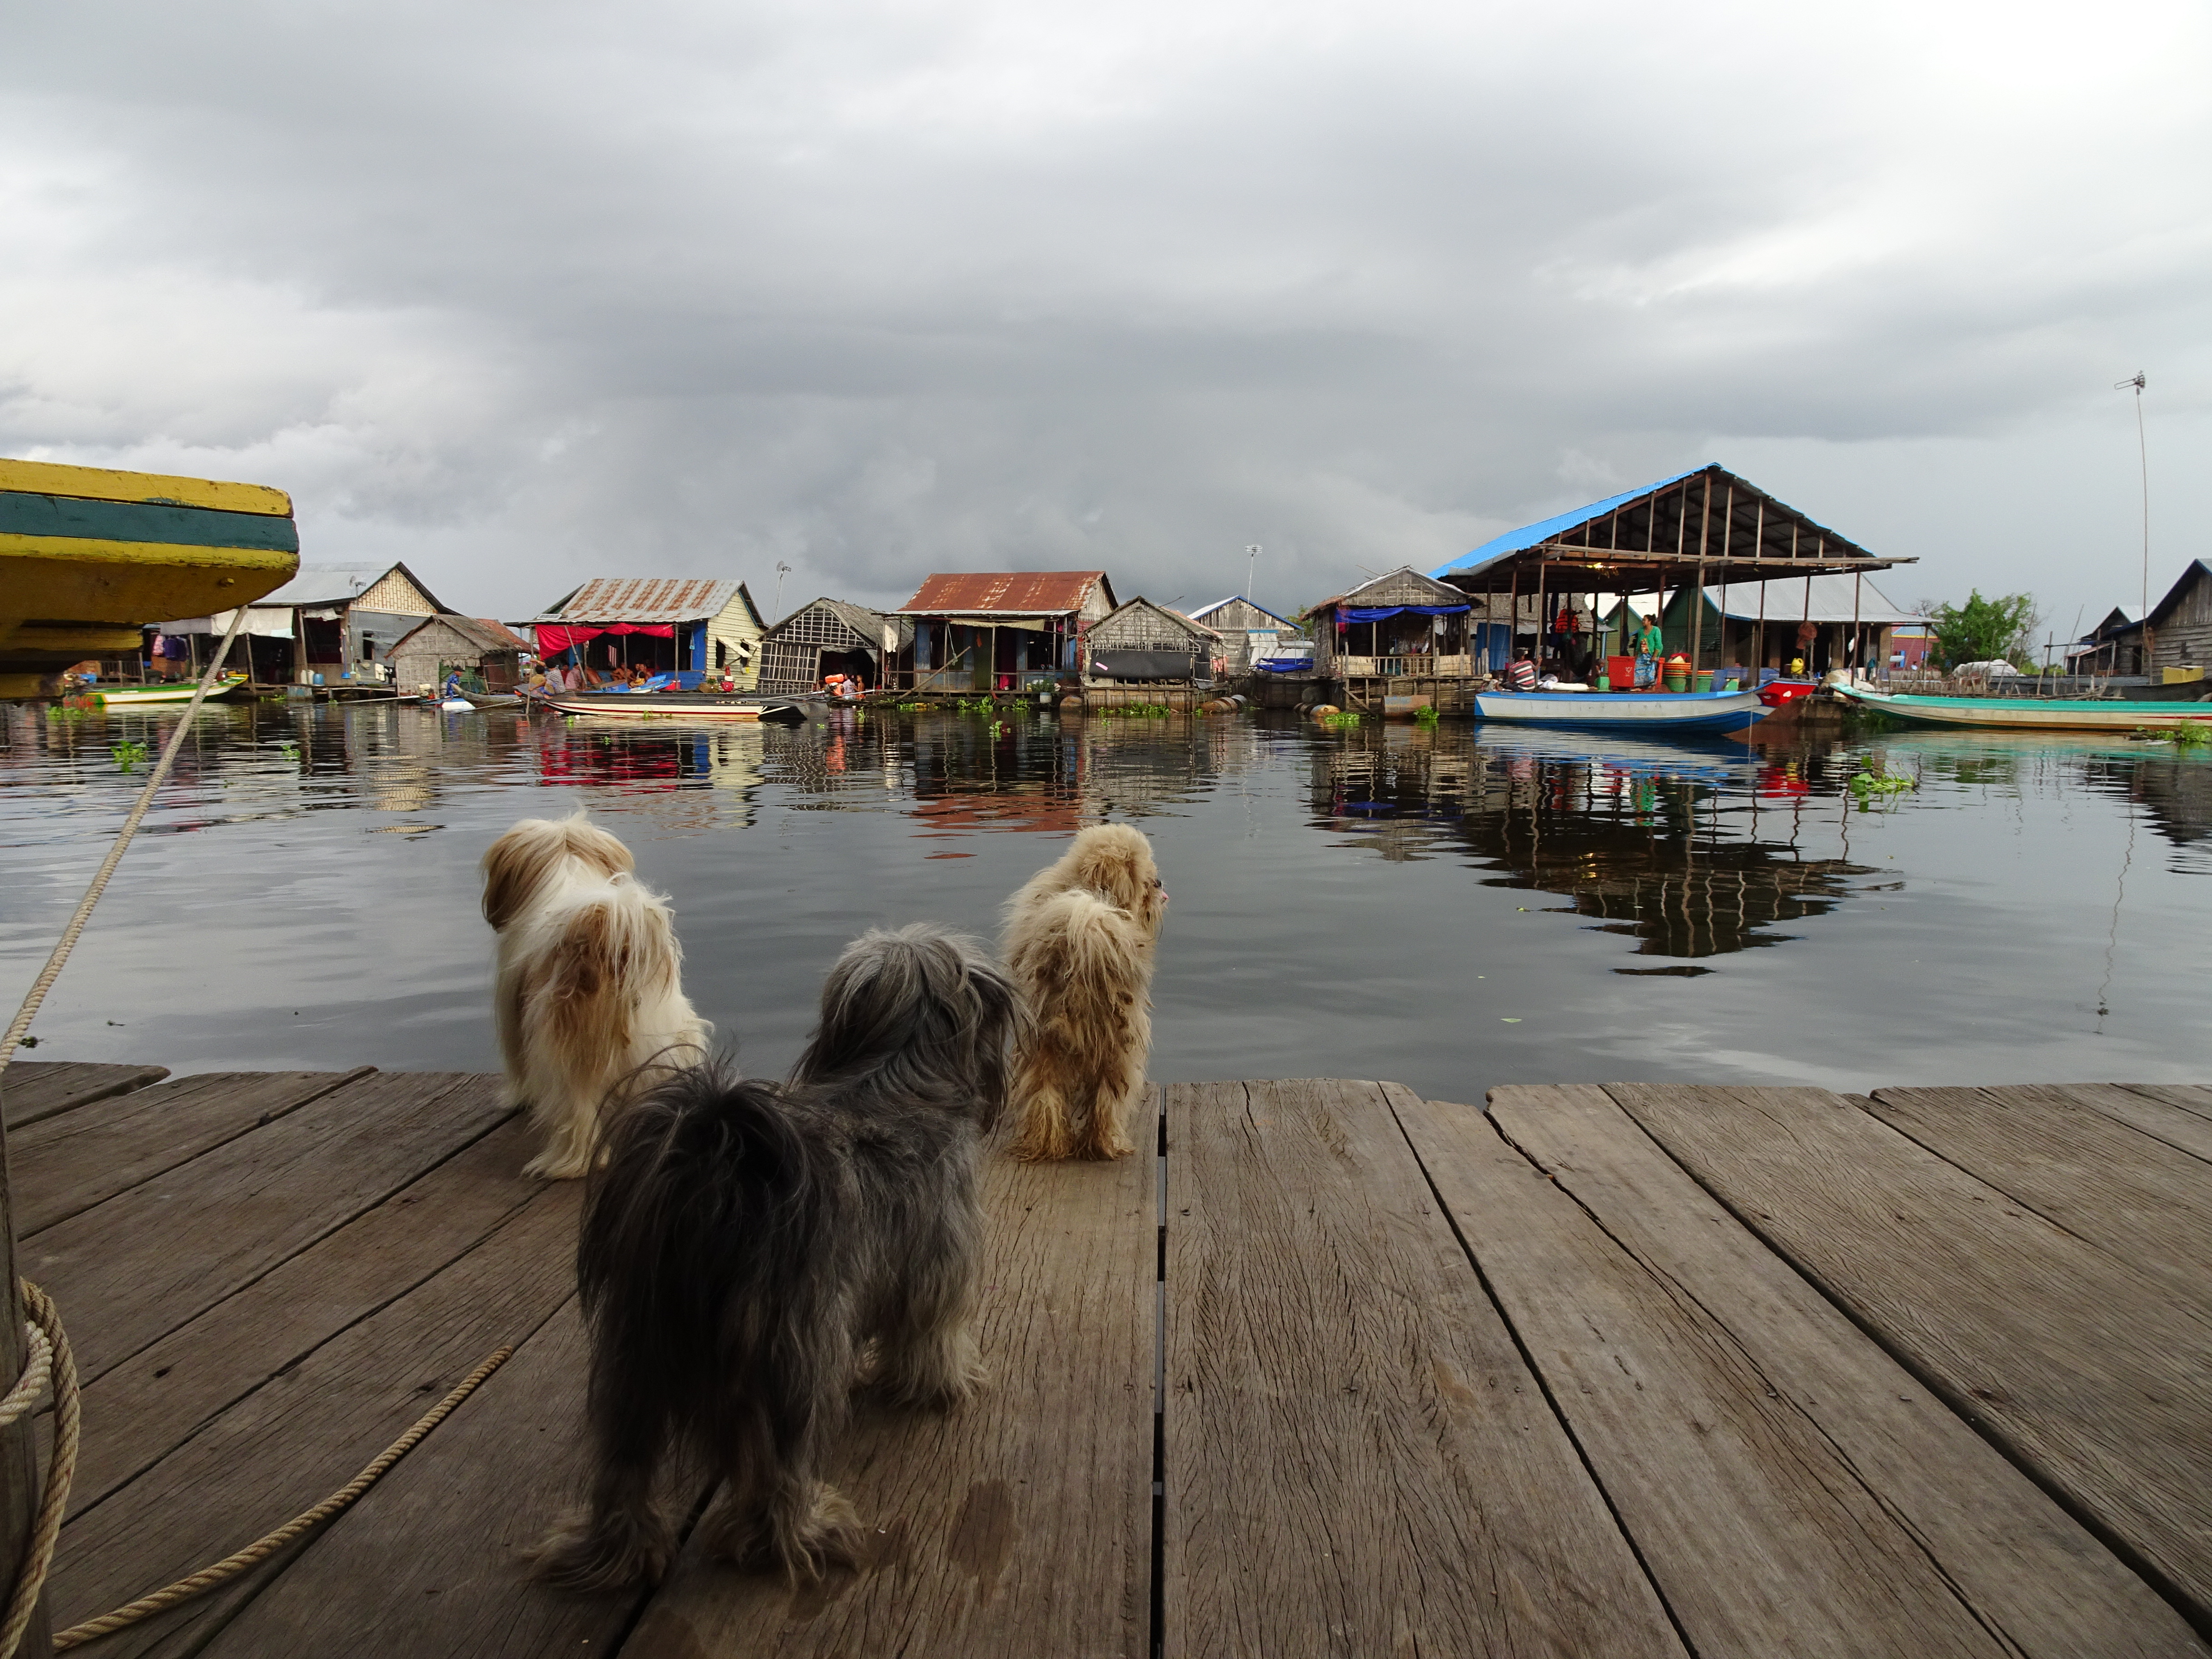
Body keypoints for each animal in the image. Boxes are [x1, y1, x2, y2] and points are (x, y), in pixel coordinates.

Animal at [535, 929, 1026, 1593]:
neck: (893, 1075)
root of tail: (717, 1172)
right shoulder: (939, 1267)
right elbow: (931, 1339)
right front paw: (945, 1386)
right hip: (796, 1361)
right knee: (782, 1471)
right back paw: (804, 1533)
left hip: (632, 1357)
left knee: (622, 1469)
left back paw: (613, 1553)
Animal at [999, 827, 1168, 1159]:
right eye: (1145, 879)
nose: (1160, 883)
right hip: (1122, 1043)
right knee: (1107, 1103)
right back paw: (1107, 1145)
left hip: (1042, 1043)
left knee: (1044, 1094)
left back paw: (1049, 1144)